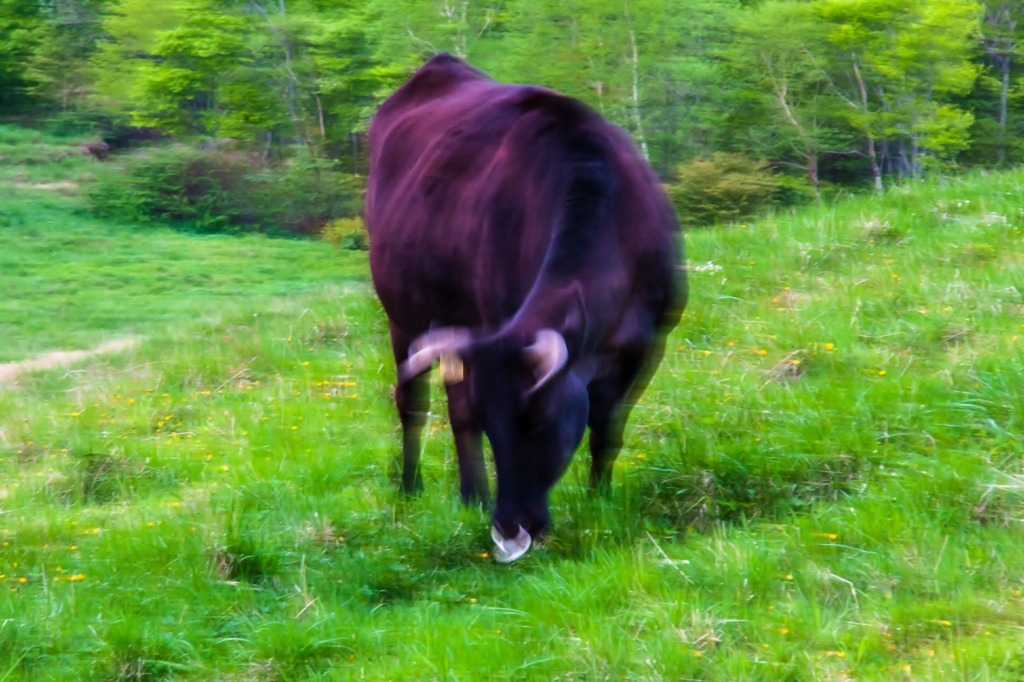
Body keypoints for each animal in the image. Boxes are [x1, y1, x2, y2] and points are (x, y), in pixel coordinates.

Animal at [364, 53, 684, 561]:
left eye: (542, 417)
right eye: (494, 423)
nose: (509, 528)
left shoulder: (647, 344)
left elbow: (607, 428)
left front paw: (600, 499)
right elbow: (463, 413)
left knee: (452, 407)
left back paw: (471, 495)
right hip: (403, 316)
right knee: (415, 402)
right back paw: (415, 487)